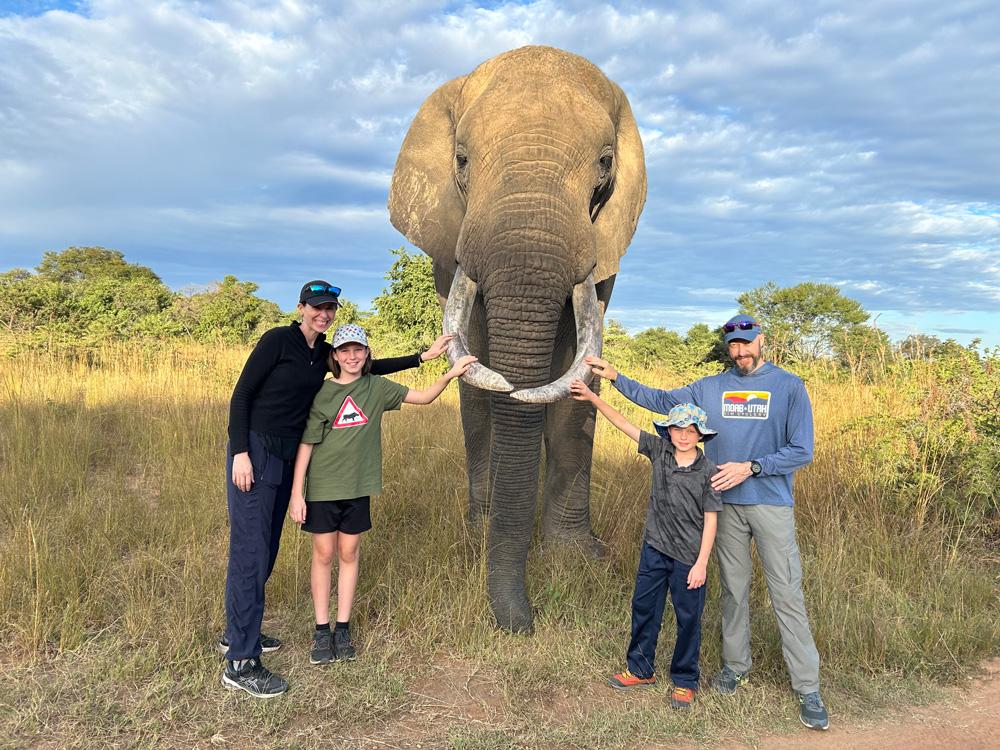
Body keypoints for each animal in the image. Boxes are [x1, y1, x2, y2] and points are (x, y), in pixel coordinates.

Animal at [388, 46, 647, 632]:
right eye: (461, 160)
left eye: (605, 164)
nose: (523, 624)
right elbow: (478, 367)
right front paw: (482, 532)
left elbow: (580, 367)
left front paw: (577, 558)